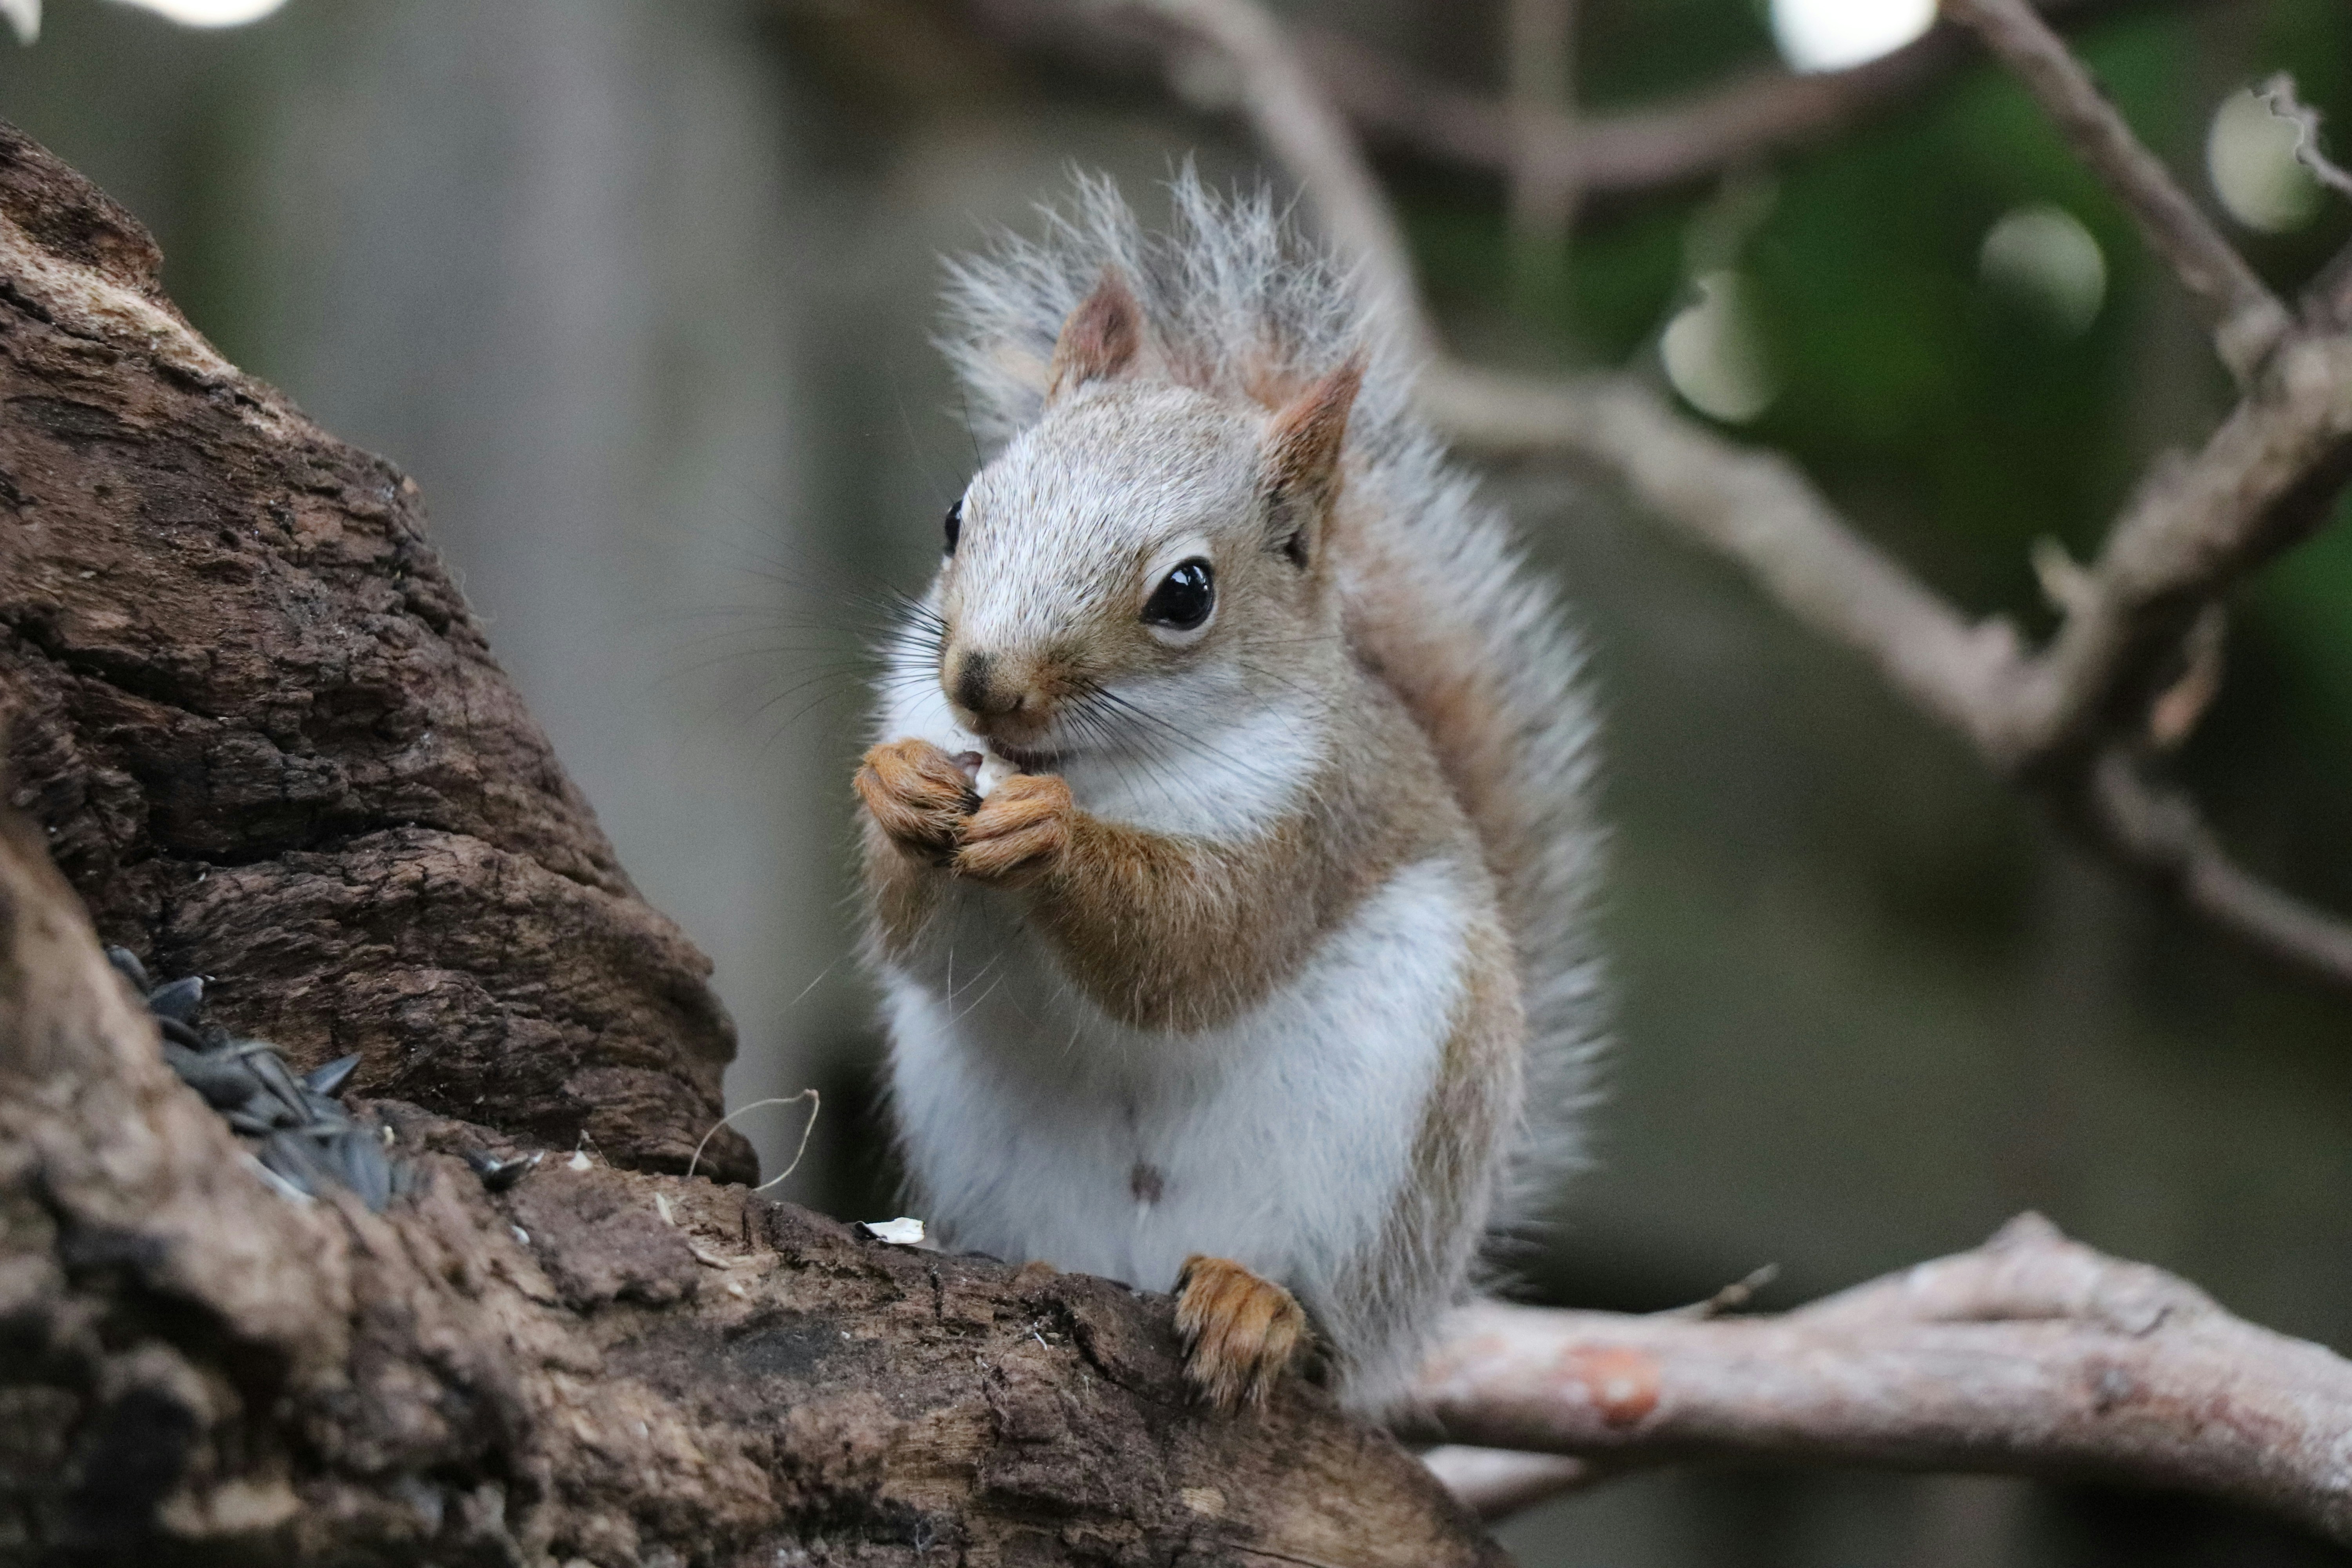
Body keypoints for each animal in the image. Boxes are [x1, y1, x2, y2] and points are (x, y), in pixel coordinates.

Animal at [853, 174, 1604, 1414]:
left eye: (1187, 593)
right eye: (959, 517)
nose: (982, 686)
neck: (1102, 768)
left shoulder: (1311, 818)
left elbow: (1200, 948)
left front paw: (1055, 838)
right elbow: (926, 947)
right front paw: (900, 786)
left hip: (1392, 1165)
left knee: (1329, 1328)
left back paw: (1263, 1308)